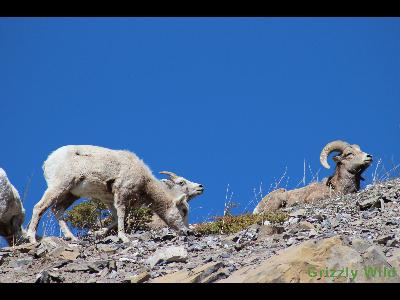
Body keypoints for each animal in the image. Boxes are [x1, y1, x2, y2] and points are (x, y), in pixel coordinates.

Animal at [27, 145, 192, 244]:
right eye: (184, 210)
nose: (187, 231)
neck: (144, 182)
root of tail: (48, 162)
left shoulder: (108, 199)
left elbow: (115, 218)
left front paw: (98, 233)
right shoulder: (121, 193)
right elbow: (121, 215)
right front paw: (124, 238)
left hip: (70, 194)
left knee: (57, 210)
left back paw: (71, 237)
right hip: (59, 187)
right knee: (39, 207)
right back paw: (32, 239)